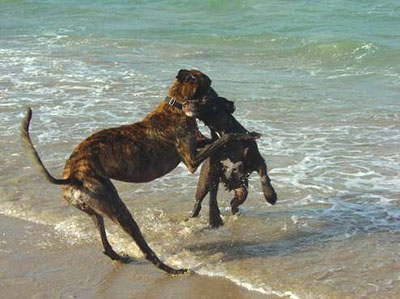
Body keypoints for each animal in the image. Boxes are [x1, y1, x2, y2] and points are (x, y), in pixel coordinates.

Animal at [21, 69, 260, 276]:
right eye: (209, 86)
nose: (229, 103)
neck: (174, 106)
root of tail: (72, 177)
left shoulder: (199, 145)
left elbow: (213, 139)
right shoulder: (191, 160)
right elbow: (223, 138)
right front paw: (243, 135)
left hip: (95, 209)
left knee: (103, 240)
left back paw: (119, 256)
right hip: (117, 207)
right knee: (145, 249)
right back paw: (172, 269)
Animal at [189, 95, 276, 229]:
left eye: (205, 99)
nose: (185, 102)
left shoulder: (257, 161)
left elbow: (264, 176)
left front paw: (270, 195)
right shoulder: (213, 172)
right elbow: (212, 198)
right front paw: (214, 218)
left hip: (242, 190)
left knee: (235, 202)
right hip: (203, 184)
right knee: (198, 202)